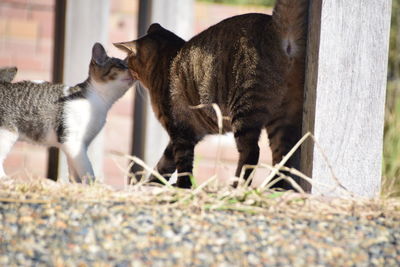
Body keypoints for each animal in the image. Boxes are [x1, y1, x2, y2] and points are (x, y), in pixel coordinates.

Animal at [0, 43, 134, 183]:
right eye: (121, 66)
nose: (133, 71)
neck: (99, 101)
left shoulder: (79, 145)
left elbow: (74, 169)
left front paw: (76, 184)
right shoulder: (71, 140)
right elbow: (87, 168)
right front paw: (93, 184)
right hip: (6, 134)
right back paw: (5, 179)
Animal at [114, 0, 308, 189]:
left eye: (128, 59)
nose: (123, 63)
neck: (167, 60)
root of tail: (274, 26)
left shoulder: (180, 131)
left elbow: (182, 164)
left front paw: (182, 186)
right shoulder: (184, 133)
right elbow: (164, 163)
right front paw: (152, 182)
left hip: (245, 109)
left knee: (252, 153)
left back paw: (237, 187)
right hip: (282, 117)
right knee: (283, 157)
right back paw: (273, 188)